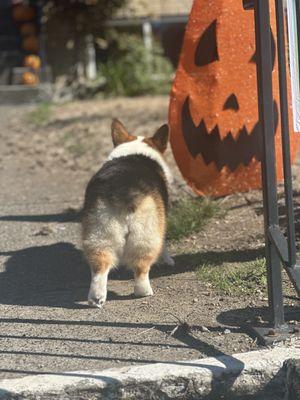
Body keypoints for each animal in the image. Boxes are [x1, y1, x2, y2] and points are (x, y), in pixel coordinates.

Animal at [82, 120, 175, 308]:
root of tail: (123, 188)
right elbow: (165, 245)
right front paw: (168, 260)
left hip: (100, 232)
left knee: (100, 266)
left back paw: (96, 298)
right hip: (146, 234)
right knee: (141, 268)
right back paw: (144, 292)